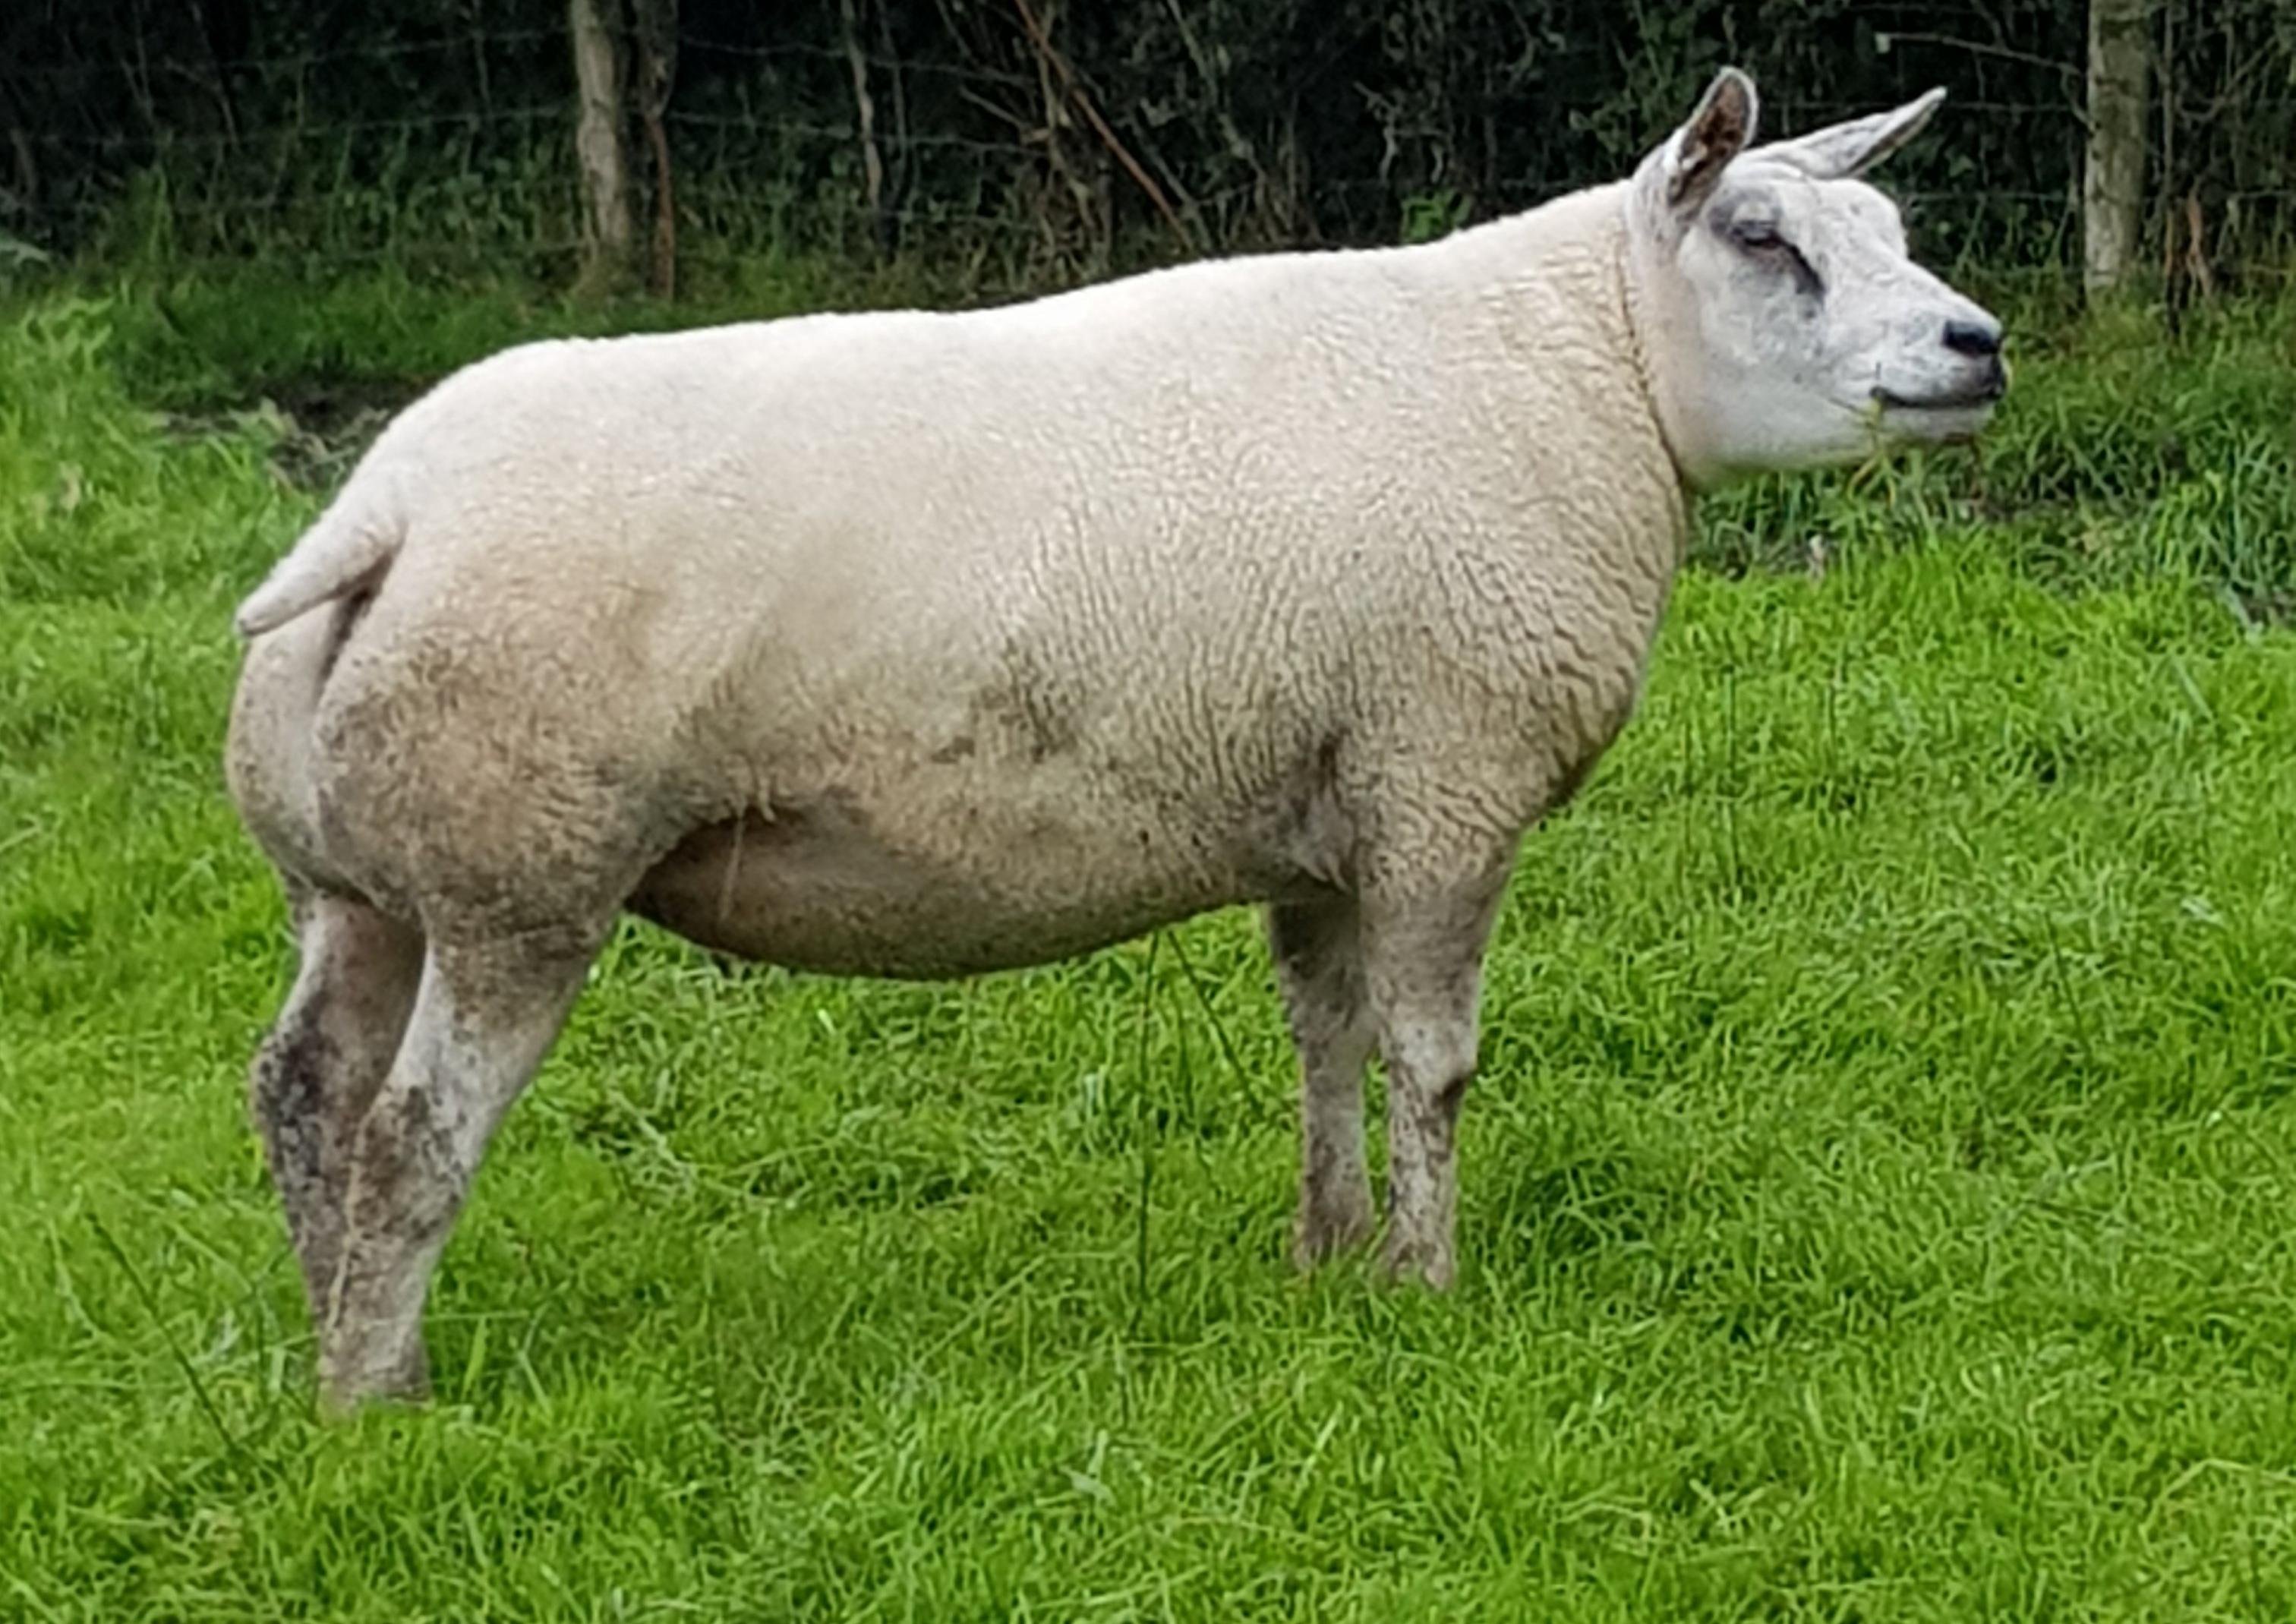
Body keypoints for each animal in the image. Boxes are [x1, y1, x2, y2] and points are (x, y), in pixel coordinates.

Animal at [226, 68, 2006, 1410]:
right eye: (1762, 238)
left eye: (1890, 230)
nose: (1975, 346)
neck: (1594, 374)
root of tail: (387, 507)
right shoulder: (1443, 788)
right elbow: (1429, 1062)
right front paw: (1427, 1287)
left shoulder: (1325, 814)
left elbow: (1323, 1045)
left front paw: (1326, 1258)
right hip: (519, 872)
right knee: (408, 1131)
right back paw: (379, 1402)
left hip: (364, 879)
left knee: (303, 1093)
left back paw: (337, 1332)